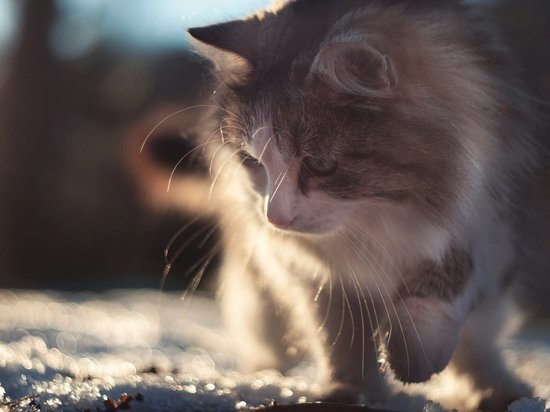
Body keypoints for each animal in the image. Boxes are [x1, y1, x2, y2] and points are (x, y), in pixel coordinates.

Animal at [187, 1, 550, 410]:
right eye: (253, 163)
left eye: (320, 166)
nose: (275, 218)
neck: (378, 219)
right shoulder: (315, 271)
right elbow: (339, 335)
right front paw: (351, 390)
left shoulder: (493, 211)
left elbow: (451, 276)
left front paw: (414, 353)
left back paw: (494, 388)